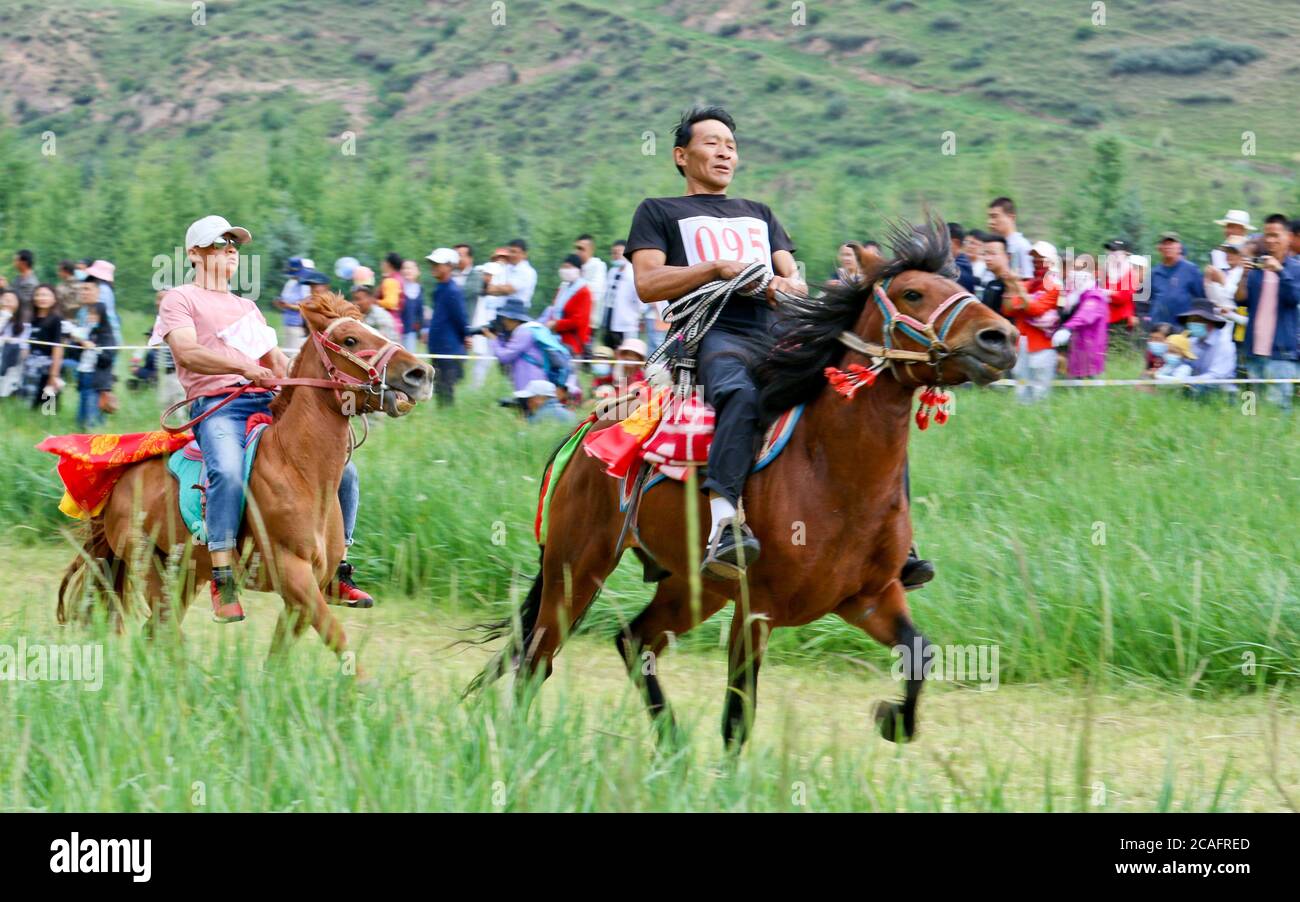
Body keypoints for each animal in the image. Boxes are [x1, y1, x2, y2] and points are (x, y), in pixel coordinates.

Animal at [58, 296, 434, 670]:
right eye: (350, 340)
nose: (421, 373)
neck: (296, 467)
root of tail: (120, 481)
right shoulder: (293, 574)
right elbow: (338, 639)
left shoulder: (304, 592)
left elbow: (280, 658)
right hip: (148, 563)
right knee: (164, 628)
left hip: (186, 573)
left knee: (159, 630)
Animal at [473, 220, 1019, 748]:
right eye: (912, 293)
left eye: (959, 282)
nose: (1003, 338)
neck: (835, 477)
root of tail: (588, 427)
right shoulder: (758, 610)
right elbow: (737, 718)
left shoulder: (871, 598)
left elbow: (920, 654)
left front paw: (893, 719)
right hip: (576, 569)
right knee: (537, 657)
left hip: (690, 588)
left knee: (632, 641)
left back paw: (671, 745)